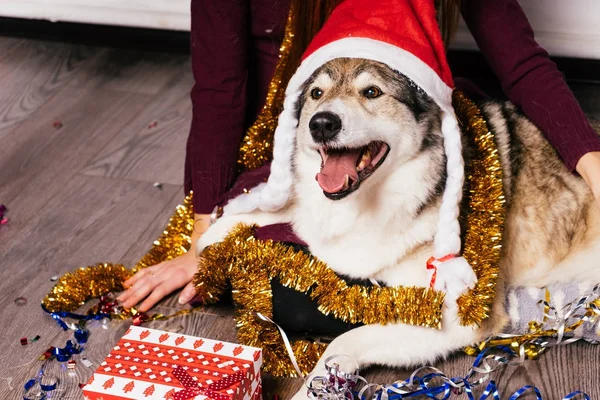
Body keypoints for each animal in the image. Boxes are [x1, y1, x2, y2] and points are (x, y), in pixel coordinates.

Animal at [198, 57, 600, 398]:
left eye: (372, 92)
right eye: (316, 94)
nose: (322, 123)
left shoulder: (458, 316)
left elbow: (344, 340)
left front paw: (319, 385)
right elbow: (280, 208)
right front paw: (210, 235)